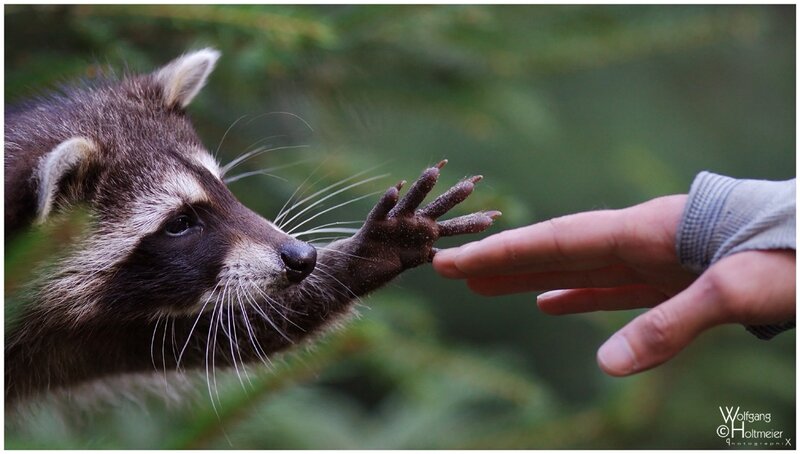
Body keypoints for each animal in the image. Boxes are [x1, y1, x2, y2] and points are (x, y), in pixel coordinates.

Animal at [4, 49, 498, 404]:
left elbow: (216, 333)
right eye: (179, 223)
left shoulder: (89, 337)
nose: (303, 258)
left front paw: (369, 253)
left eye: (220, 186)